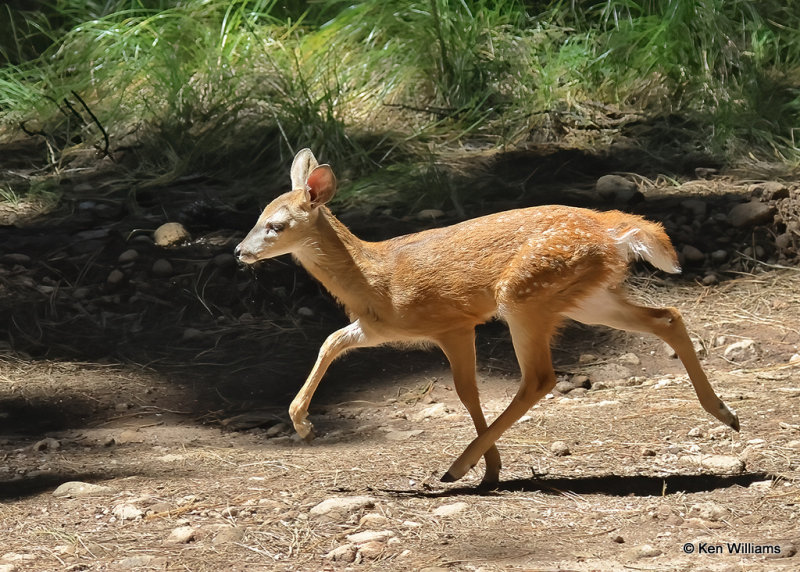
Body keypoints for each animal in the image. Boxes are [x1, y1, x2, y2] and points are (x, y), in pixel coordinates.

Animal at [234, 150, 740, 484]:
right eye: (257, 216)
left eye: (276, 225)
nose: (239, 251)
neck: (376, 278)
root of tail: (616, 229)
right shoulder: (380, 328)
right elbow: (331, 341)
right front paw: (302, 423)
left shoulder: (452, 323)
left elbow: (466, 391)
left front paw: (488, 467)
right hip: (585, 296)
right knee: (667, 316)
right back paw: (725, 413)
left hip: (524, 295)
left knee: (539, 377)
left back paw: (456, 467)